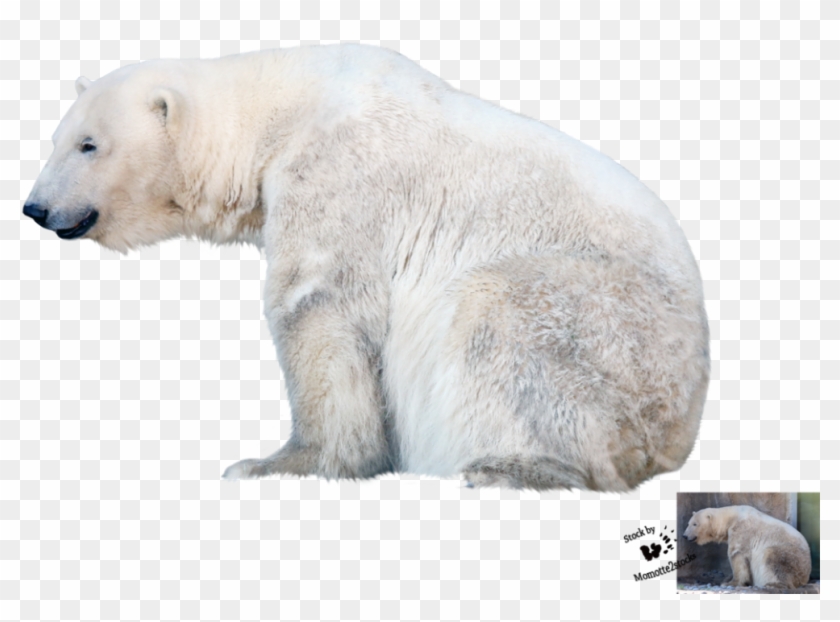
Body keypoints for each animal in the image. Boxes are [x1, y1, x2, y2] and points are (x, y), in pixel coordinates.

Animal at [22, 44, 710, 490]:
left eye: (89, 144)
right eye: (56, 140)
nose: (34, 208)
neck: (279, 111)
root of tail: (679, 434)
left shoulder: (337, 174)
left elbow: (320, 309)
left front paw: (279, 464)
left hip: (610, 334)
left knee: (499, 317)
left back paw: (507, 467)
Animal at [683, 505, 812, 590]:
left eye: (695, 524)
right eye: (688, 523)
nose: (684, 536)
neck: (731, 517)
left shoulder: (741, 530)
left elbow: (737, 555)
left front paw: (731, 583)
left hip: (792, 557)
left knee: (773, 558)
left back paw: (773, 584)